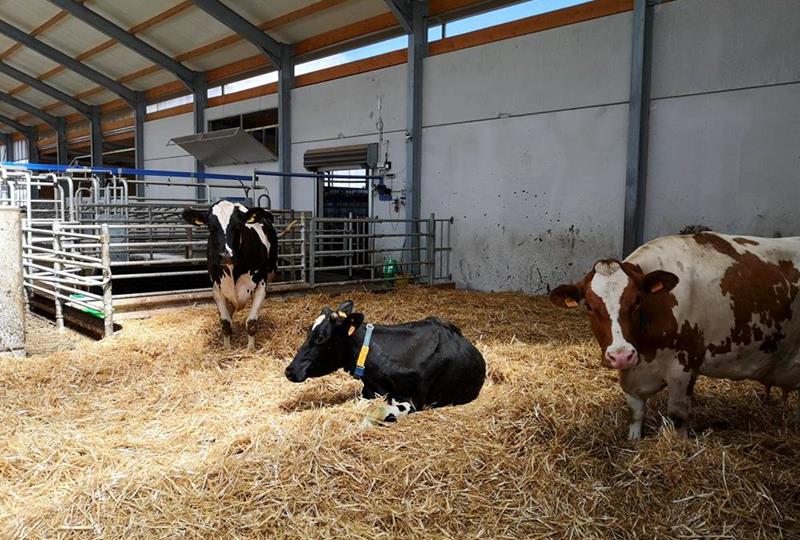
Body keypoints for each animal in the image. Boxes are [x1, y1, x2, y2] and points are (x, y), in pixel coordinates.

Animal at [183, 200, 278, 351]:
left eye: (238, 225)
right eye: (211, 227)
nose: (226, 255)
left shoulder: (261, 286)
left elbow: (251, 323)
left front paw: (250, 349)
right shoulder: (217, 288)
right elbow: (226, 323)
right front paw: (227, 349)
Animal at [550, 232, 800, 440]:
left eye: (637, 300)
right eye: (589, 307)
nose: (621, 355)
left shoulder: (684, 367)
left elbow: (678, 416)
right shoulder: (634, 372)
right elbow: (635, 413)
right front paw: (633, 441)